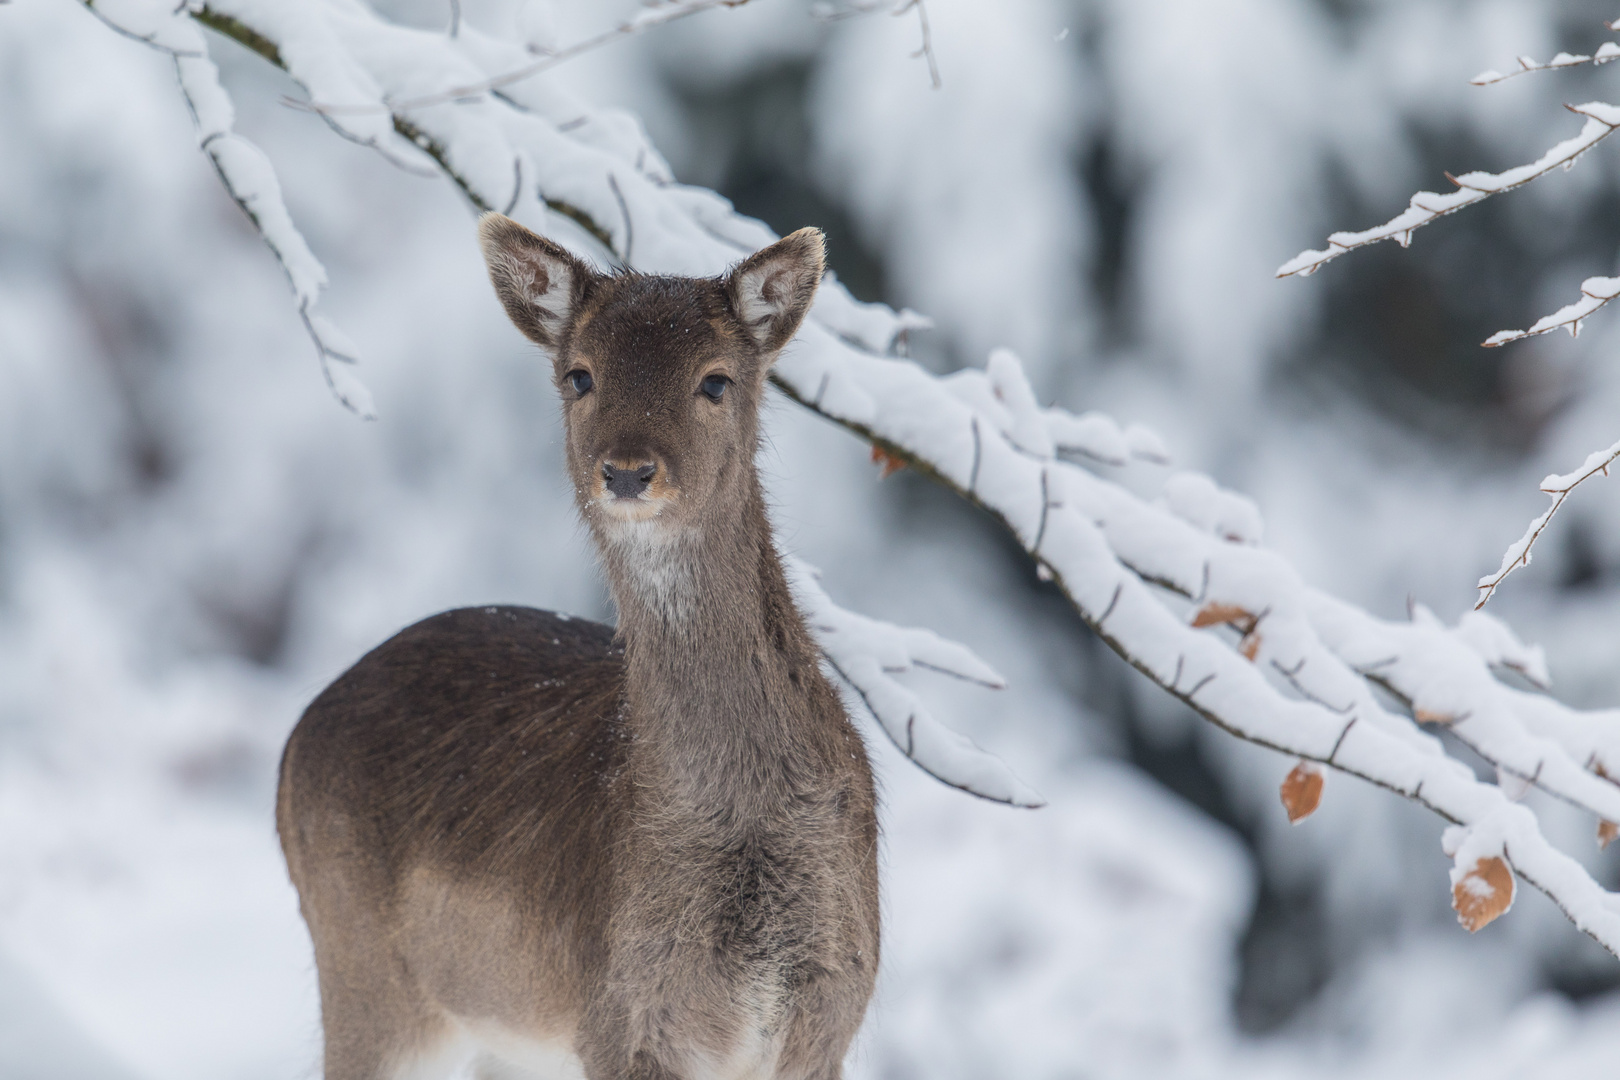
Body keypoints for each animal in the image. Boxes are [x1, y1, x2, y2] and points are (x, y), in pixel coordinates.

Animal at [280, 213, 887, 1080]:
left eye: (715, 380)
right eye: (579, 376)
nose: (628, 471)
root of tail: (292, 743)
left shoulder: (831, 1013)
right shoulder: (620, 1019)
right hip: (370, 983)